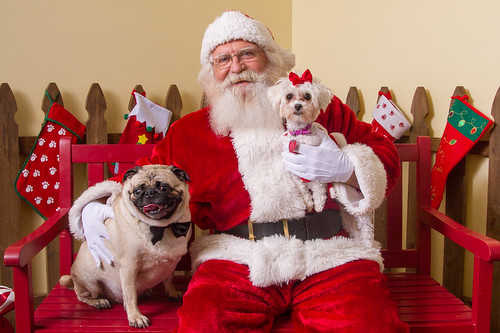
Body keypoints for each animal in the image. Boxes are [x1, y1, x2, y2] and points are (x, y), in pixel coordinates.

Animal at [59, 163, 191, 326]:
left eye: (164, 188)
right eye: (138, 191)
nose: (149, 193)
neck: (159, 228)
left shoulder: (170, 265)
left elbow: (168, 280)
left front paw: (172, 293)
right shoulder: (129, 266)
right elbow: (130, 295)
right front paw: (135, 317)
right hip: (90, 283)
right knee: (83, 296)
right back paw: (99, 301)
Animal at [268, 68, 334, 211]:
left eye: (308, 96)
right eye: (289, 96)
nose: (298, 106)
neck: (299, 134)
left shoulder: (318, 174)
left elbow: (319, 188)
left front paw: (319, 205)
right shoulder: (294, 173)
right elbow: (302, 189)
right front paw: (308, 203)